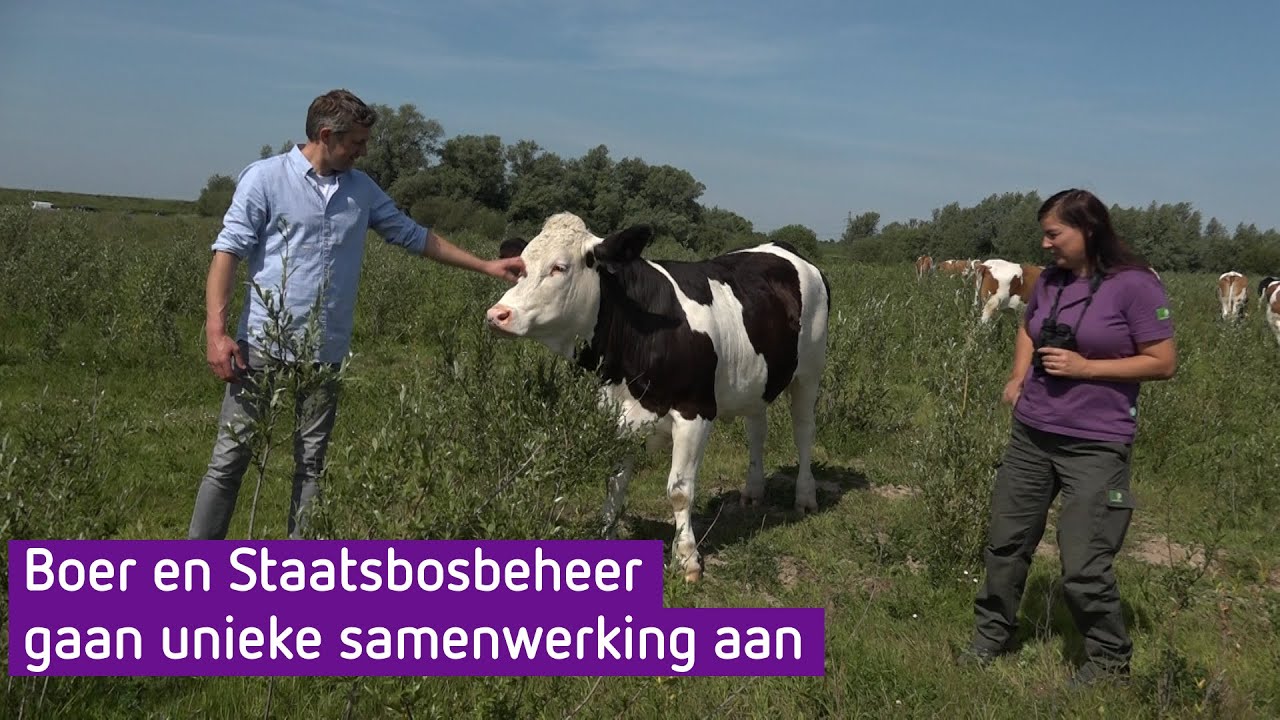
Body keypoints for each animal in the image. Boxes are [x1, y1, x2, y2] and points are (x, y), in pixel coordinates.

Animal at [485, 213, 831, 581]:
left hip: (809, 372)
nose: (498, 314)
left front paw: (687, 559)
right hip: (756, 379)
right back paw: (752, 491)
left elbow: (679, 492)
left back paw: (805, 496)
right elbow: (615, 485)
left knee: (803, 430)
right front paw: (606, 536)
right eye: (520, 265)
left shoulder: (694, 412)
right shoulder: (612, 413)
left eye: (559, 267)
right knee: (757, 429)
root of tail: (782, 246)